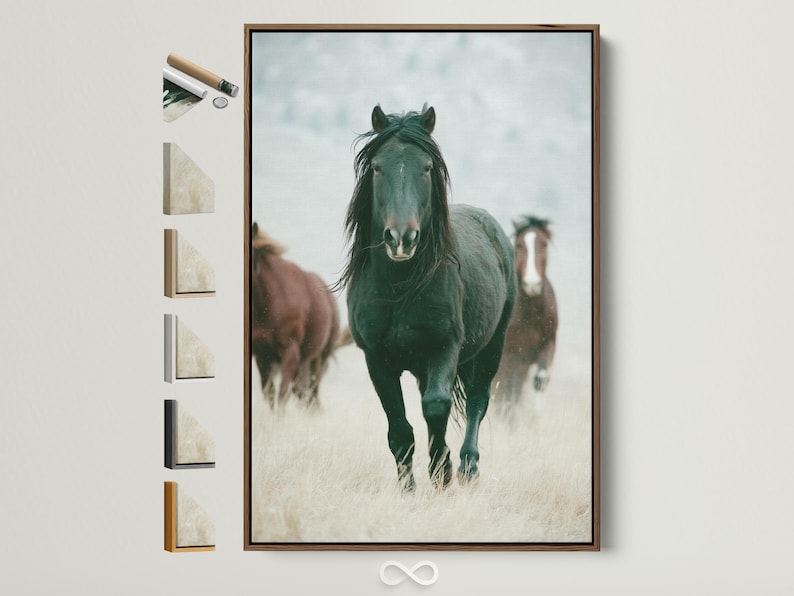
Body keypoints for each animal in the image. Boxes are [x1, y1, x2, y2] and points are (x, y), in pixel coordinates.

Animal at [251, 223, 339, 410]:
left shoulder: (290, 352)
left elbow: (282, 394)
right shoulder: (263, 356)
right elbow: (269, 394)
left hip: (318, 358)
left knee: (312, 392)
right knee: (302, 392)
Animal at [338, 105, 517, 491]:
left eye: (427, 167)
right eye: (377, 167)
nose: (401, 238)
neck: (400, 288)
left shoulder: (445, 347)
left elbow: (436, 406)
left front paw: (442, 473)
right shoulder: (376, 358)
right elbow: (400, 428)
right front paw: (408, 488)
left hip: (494, 344)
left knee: (478, 400)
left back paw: (467, 467)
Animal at [492, 215, 558, 417]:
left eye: (544, 244)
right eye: (519, 245)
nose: (532, 284)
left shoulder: (548, 344)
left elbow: (540, 379)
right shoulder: (509, 356)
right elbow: (505, 391)